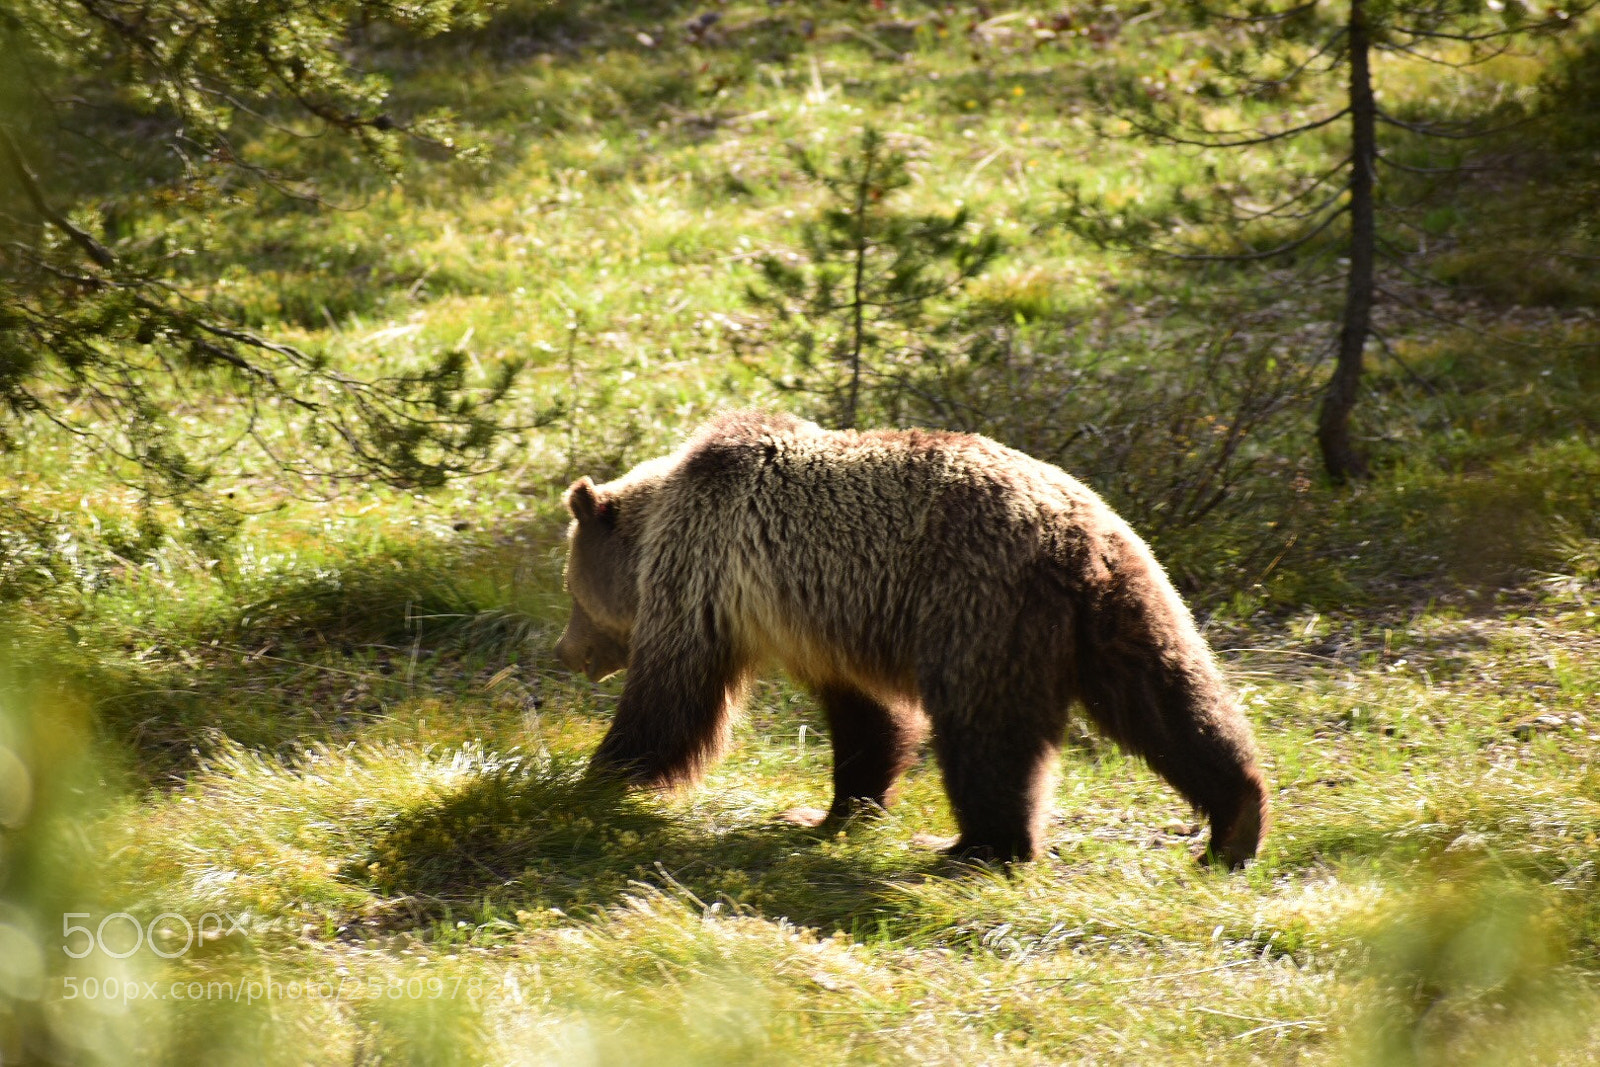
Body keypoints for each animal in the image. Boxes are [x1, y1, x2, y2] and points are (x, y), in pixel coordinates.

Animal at [554, 410, 1268, 867]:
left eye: (572, 593)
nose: (566, 652)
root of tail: (1074, 536)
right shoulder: (830, 619)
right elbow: (870, 719)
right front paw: (835, 810)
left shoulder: (705, 573)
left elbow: (672, 698)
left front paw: (589, 776)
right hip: (1126, 602)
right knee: (1172, 698)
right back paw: (1237, 824)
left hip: (976, 605)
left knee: (988, 734)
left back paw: (974, 846)